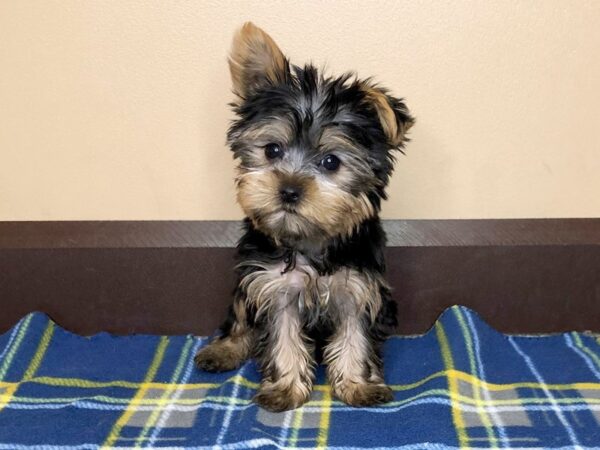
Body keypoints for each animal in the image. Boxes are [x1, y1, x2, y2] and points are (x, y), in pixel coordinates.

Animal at [196, 23, 412, 412]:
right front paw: (285, 389)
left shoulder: (358, 287)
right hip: (247, 276)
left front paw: (358, 385)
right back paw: (224, 350)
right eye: (272, 150)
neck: (311, 240)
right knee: (239, 315)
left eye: (331, 162)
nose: (289, 190)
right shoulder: (275, 287)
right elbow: (282, 337)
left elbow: (355, 335)